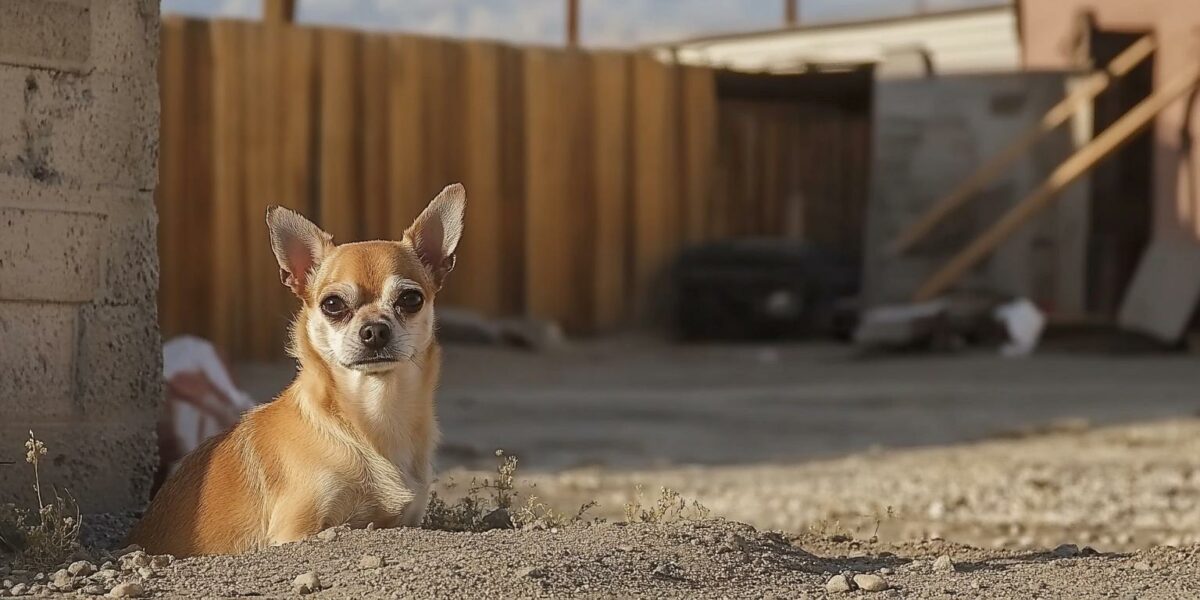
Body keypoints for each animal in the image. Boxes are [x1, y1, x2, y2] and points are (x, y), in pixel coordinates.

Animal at [130, 183, 463, 556]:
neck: (372, 419)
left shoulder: (406, 520)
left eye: (410, 299)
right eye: (332, 304)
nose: (375, 330)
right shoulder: (296, 531)